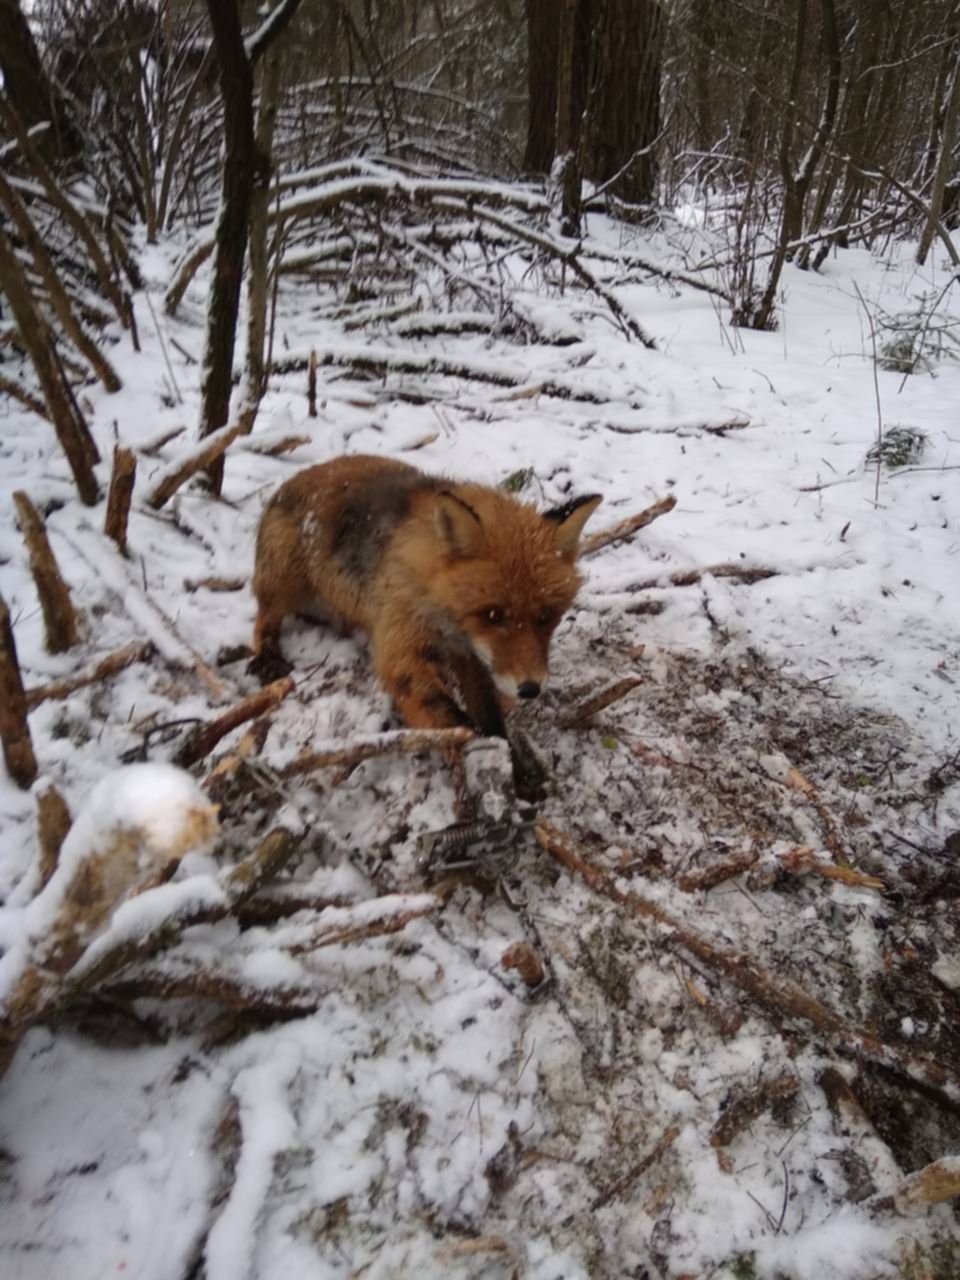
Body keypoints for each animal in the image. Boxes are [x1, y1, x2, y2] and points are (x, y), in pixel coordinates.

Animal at [253, 455, 601, 737]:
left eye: (545, 616)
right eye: (493, 615)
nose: (530, 689)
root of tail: (292, 480)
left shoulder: (470, 655)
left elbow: (487, 706)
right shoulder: (403, 639)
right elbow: (439, 710)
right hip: (284, 583)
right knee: (263, 620)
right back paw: (267, 658)